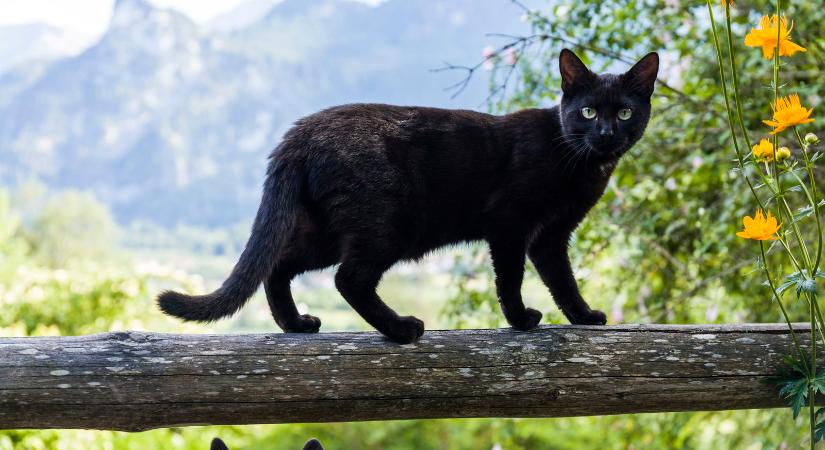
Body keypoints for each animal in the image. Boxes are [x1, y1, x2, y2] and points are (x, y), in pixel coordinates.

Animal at [159, 49, 656, 342]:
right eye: (587, 111)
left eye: (624, 113)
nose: (606, 133)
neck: (580, 160)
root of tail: (300, 133)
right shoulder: (511, 226)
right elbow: (510, 280)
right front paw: (520, 320)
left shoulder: (551, 236)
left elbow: (562, 280)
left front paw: (583, 316)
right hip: (386, 226)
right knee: (348, 279)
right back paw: (401, 329)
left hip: (325, 230)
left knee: (279, 266)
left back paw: (296, 324)